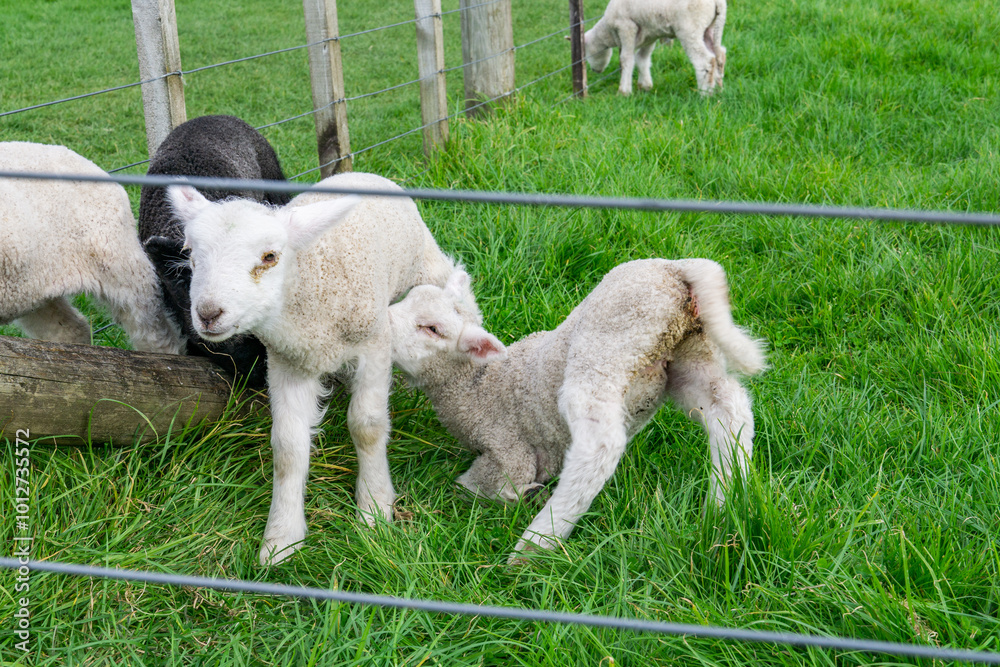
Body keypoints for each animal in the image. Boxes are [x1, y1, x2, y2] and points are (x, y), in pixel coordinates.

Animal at [166, 171, 457, 565]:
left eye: (270, 256)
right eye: (191, 256)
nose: (209, 313)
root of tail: (358, 173)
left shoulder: (374, 343)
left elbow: (367, 426)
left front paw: (374, 508)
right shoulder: (288, 362)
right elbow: (288, 448)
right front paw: (281, 537)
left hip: (424, 260)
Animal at [388, 259, 765, 561]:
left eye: (432, 329)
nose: (381, 324)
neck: (479, 383)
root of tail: (677, 269)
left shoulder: (508, 447)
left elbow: (478, 485)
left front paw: (518, 495)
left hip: (606, 348)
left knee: (600, 445)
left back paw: (535, 545)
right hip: (690, 354)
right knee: (730, 413)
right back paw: (721, 508)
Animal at [578, 0, 727, 95]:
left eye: (587, 53)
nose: (595, 71)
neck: (608, 33)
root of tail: (718, 2)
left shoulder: (626, 27)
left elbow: (626, 60)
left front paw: (624, 91)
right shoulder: (650, 34)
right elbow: (641, 58)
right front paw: (645, 86)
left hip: (690, 29)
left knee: (705, 60)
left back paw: (705, 93)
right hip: (712, 27)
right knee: (719, 55)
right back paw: (718, 89)